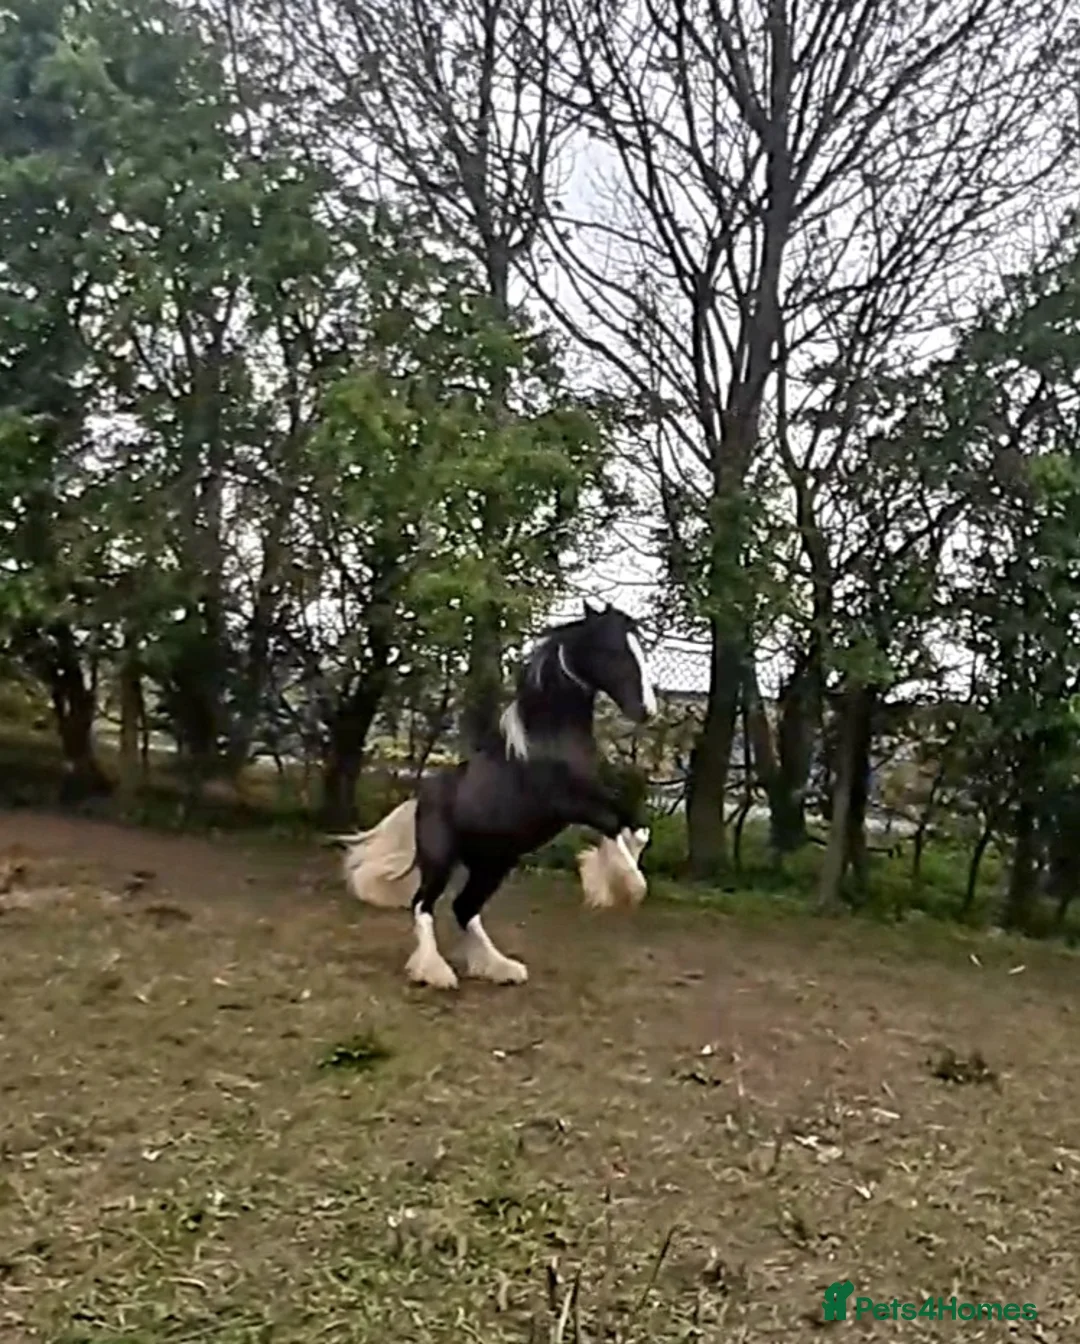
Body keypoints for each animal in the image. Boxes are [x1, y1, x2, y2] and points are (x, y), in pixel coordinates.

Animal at [400, 598, 657, 989]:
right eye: (613, 650)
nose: (647, 711)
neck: (548, 741)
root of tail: (422, 794)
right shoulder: (571, 804)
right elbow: (613, 823)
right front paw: (626, 887)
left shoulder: (599, 795)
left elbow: (636, 827)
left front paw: (606, 881)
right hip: (441, 858)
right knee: (423, 905)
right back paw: (435, 972)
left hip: (494, 863)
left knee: (465, 908)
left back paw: (501, 968)